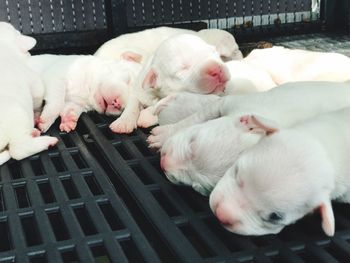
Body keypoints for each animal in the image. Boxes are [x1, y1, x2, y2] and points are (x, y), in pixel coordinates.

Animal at [150, 82, 350, 196]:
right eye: (193, 144)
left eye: (196, 186)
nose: (163, 163)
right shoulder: (228, 105)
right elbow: (197, 117)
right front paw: (163, 134)